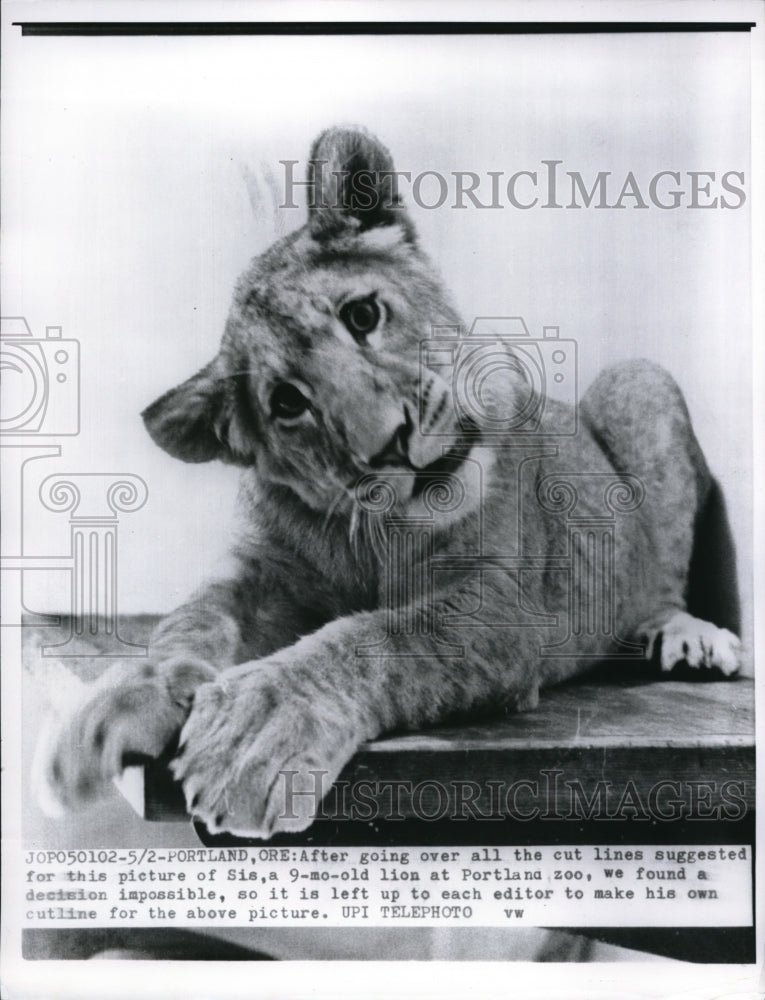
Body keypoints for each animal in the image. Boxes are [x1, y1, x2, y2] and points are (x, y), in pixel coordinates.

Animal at [41, 126, 741, 838]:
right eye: (287, 403)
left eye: (362, 315)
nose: (391, 443)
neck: (373, 537)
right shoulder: (259, 575)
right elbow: (188, 622)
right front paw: (111, 713)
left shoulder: (501, 609)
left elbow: (376, 638)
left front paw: (256, 730)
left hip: (639, 381)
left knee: (658, 582)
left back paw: (688, 637)